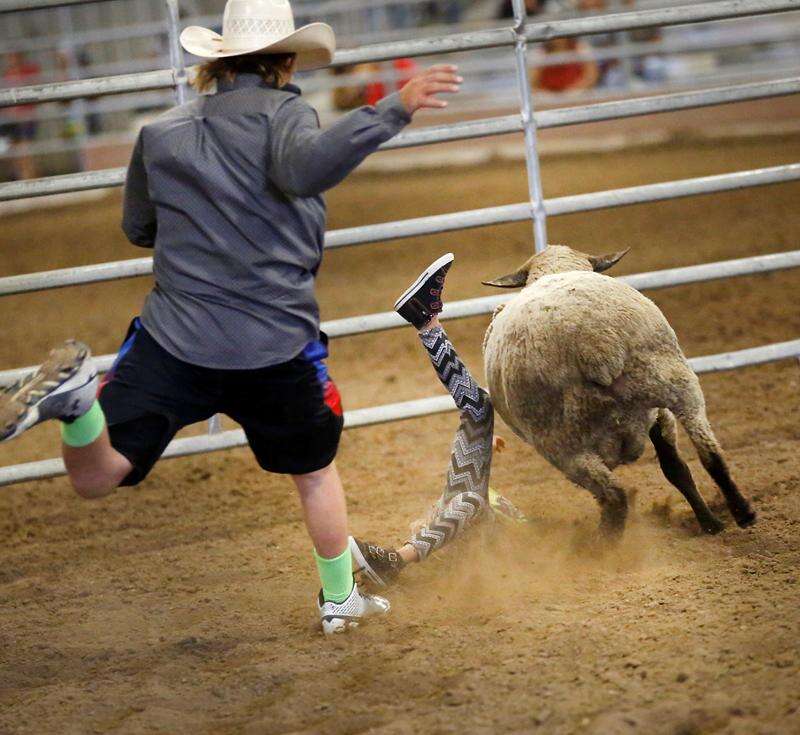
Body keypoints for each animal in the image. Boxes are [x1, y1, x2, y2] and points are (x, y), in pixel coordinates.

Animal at [482, 244, 756, 536]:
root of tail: (594, 342)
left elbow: (673, 469)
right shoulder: (658, 413)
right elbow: (675, 468)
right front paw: (710, 524)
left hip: (561, 443)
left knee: (615, 497)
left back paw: (600, 544)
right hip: (674, 383)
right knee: (709, 453)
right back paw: (740, 514)